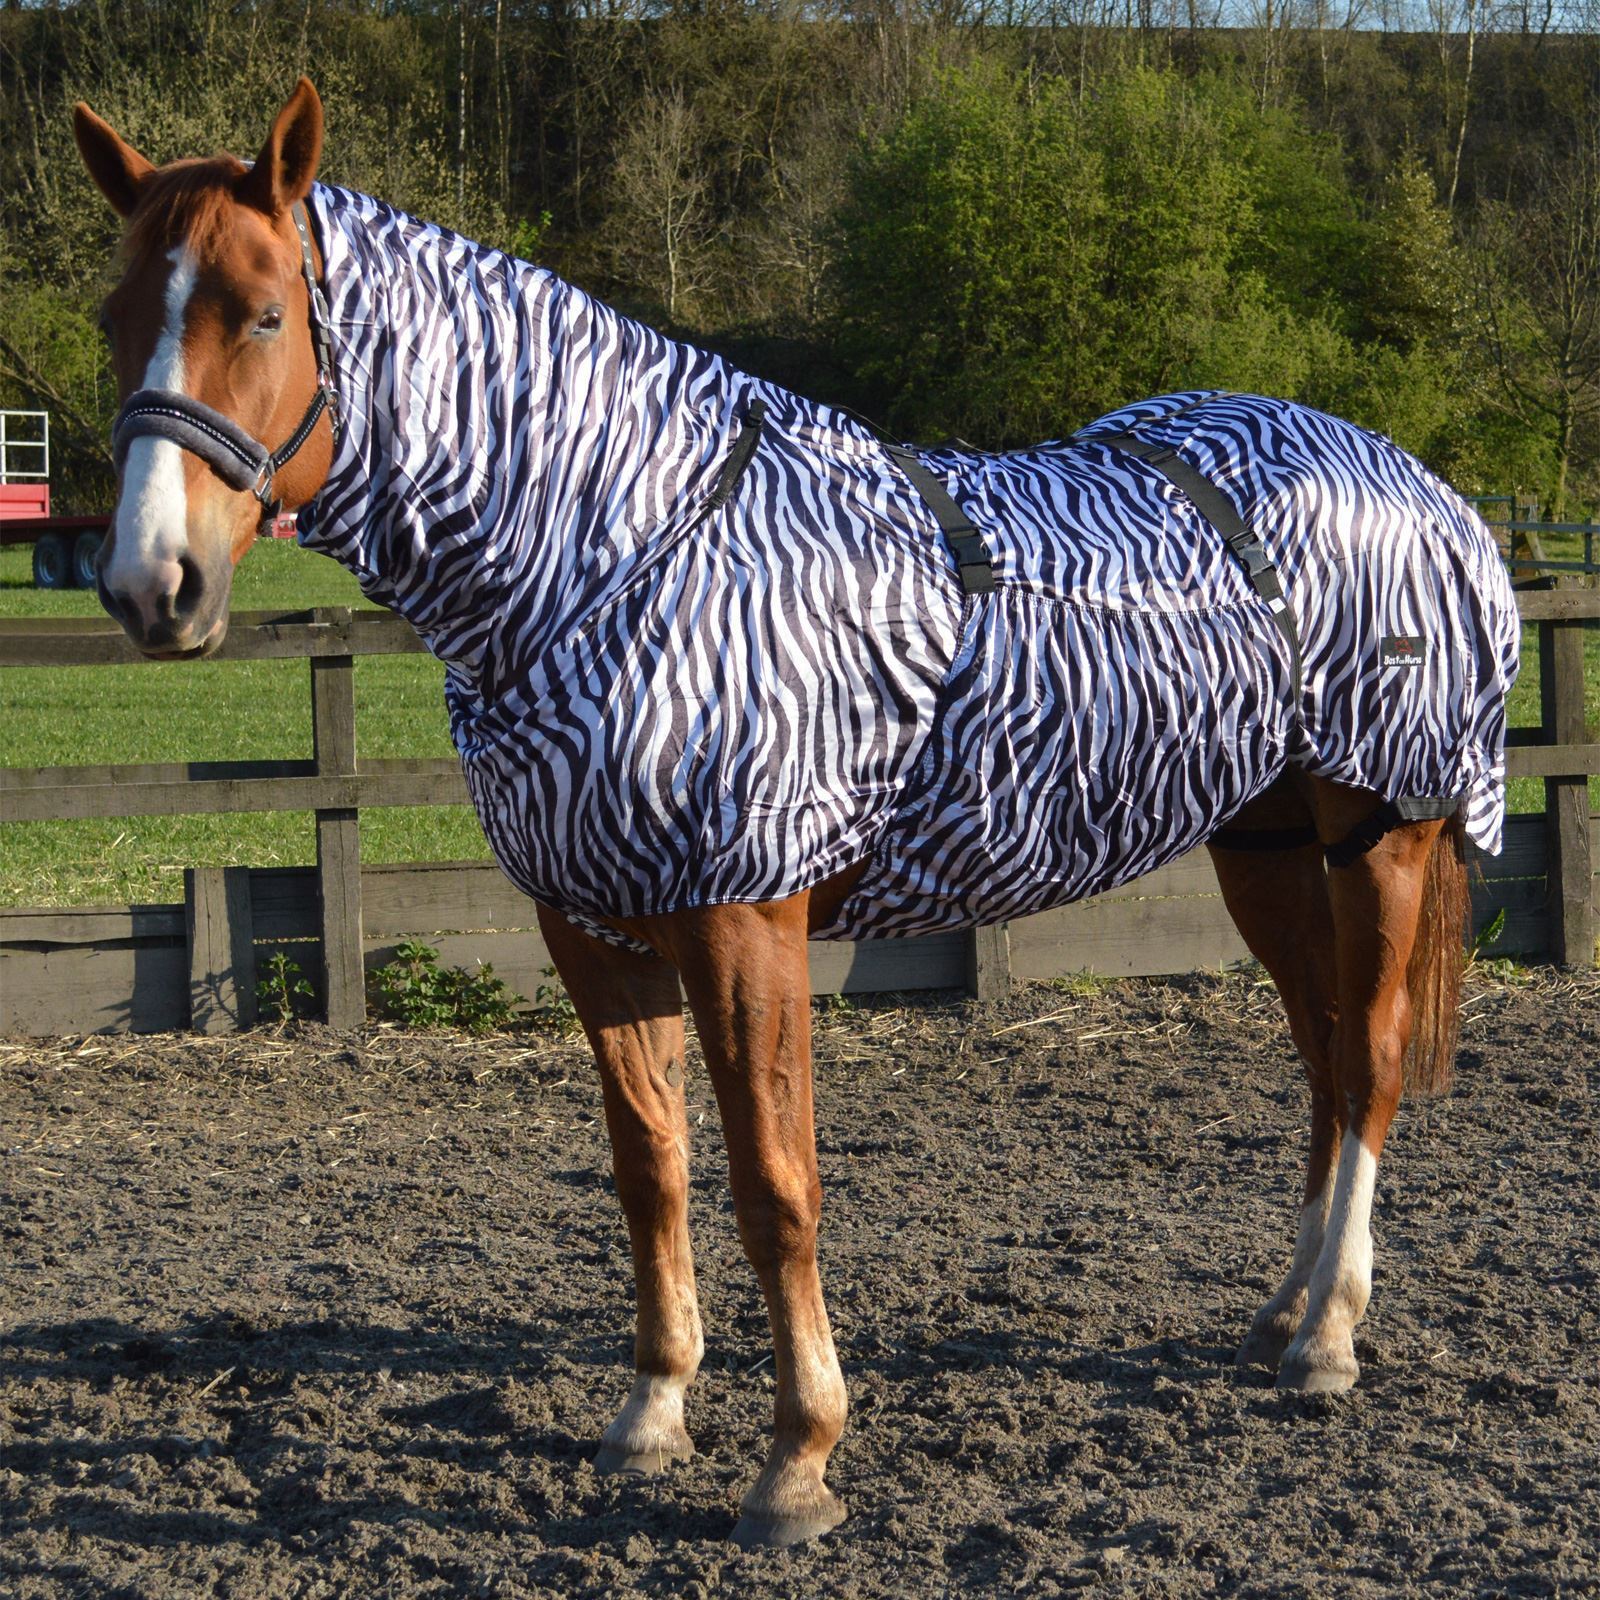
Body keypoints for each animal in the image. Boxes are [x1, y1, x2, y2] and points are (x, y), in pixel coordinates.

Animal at [75, 78, 1518, 1548]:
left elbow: (776, 1186)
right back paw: (1285, 1312)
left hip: (1383, 831)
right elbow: (649, 1169)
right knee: (1324, 1060)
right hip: (1265, 845)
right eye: (115, 318)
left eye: (262, 312)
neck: (616, 550)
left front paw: (799, 1459)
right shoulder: (595, 928)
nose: (150, 585)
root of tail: (1423, 488)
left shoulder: (741, 917)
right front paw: (653, 1413)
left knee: (1372, 1059)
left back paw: (1329, 1336)